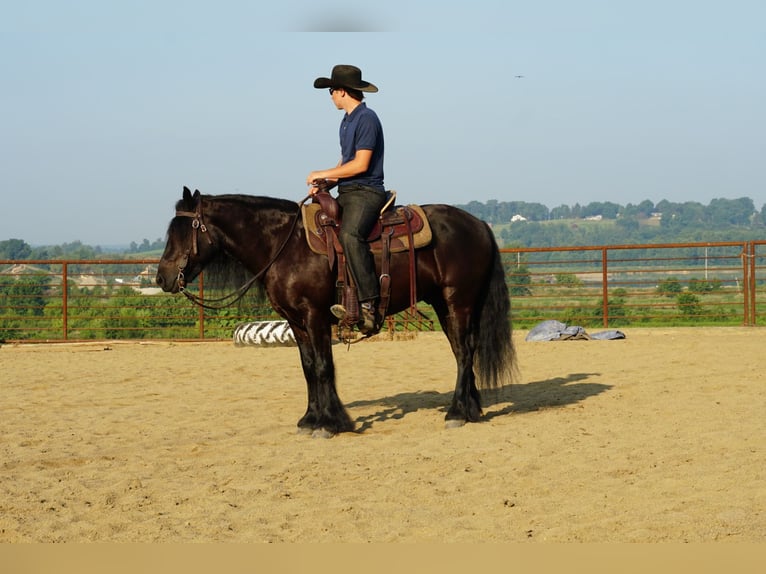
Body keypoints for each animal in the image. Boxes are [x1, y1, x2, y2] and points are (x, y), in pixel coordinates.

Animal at [156, 187, 515, 437]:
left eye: (183, 231)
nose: (162, 277)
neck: (285, 246)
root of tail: (480, 225)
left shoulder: (315, 316)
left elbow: (324, 367)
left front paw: (331, 423)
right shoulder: (297, 322)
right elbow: (308, 368)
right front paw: (310, 419)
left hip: (458, 300)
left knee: (465, 351)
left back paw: (456, 413)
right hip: (447, 304)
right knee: (463, 350)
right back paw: (471, 409)